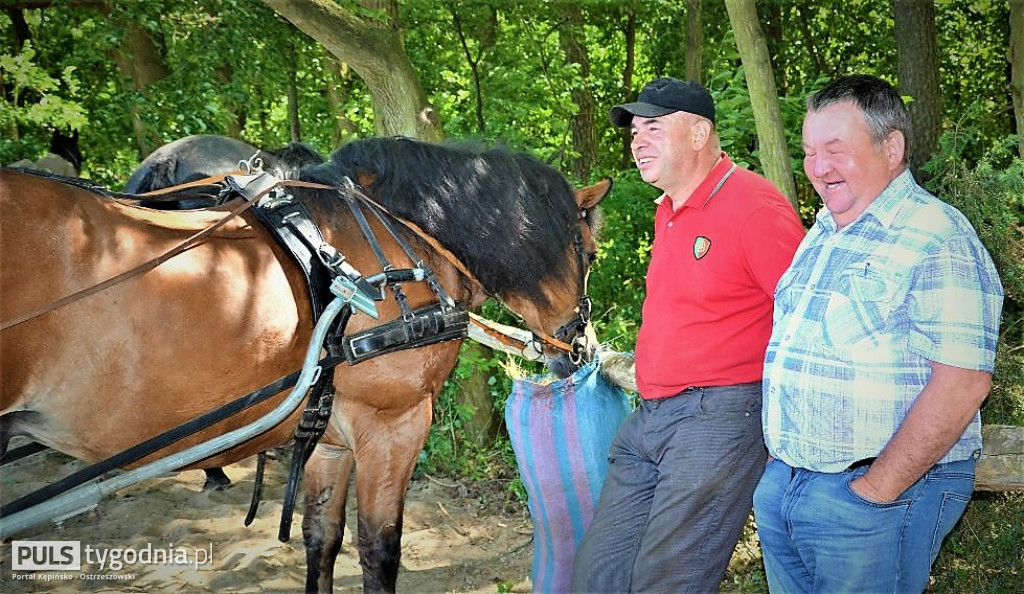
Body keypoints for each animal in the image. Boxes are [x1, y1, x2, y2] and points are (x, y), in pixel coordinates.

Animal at [0, 137, 606, 589]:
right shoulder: (394, 425)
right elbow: (379, 550)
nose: (582, 346)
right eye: (590, 253)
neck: (392, 238)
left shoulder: (327, 433)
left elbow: (322, 539)